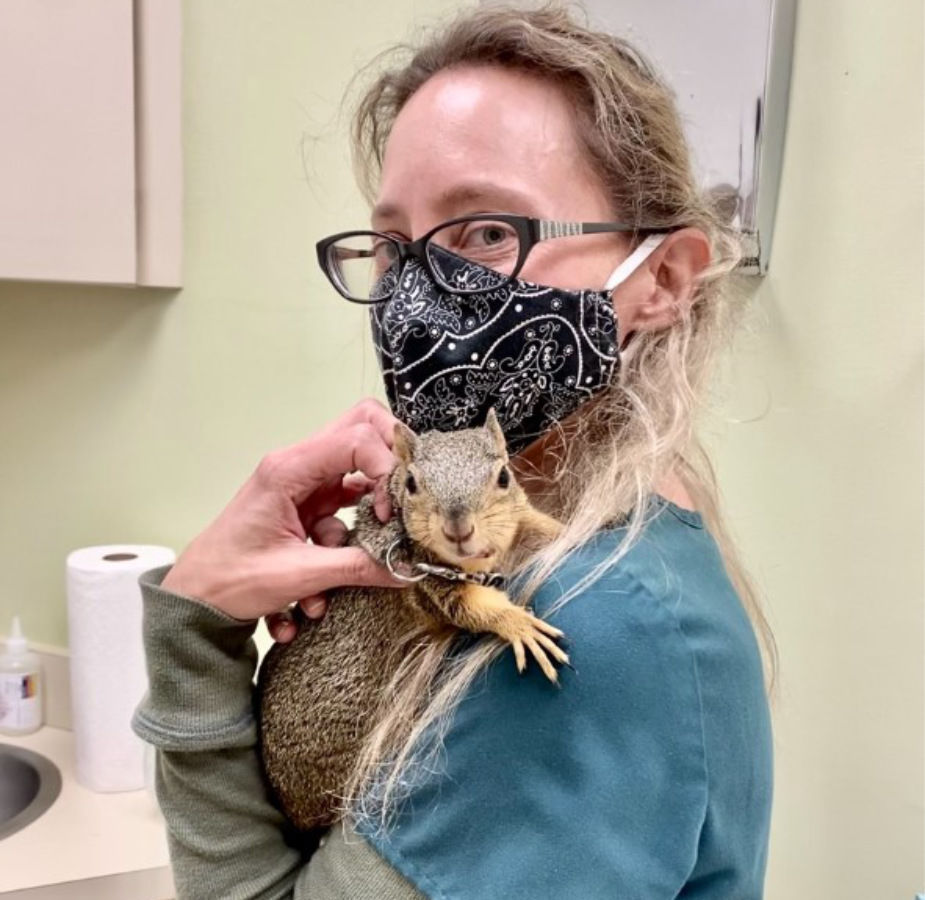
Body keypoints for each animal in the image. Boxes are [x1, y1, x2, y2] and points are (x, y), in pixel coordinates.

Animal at [256, 409, 568, 832]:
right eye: (411, 483)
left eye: (504, 476)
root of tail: (292, 808)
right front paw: (520, 626)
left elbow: (539, 525)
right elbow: (475, 607)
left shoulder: (517, 519)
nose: (458, 529)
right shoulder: (428, 587)